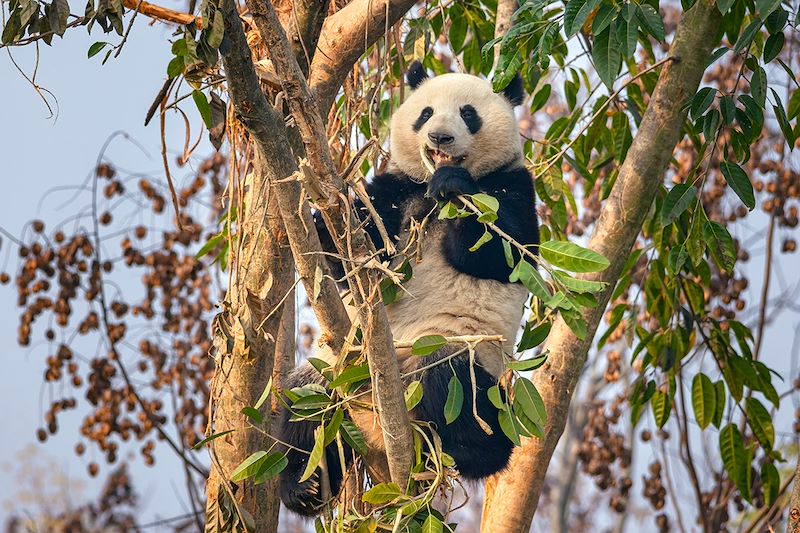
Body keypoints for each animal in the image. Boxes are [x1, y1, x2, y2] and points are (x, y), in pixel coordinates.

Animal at [278, 61, 540, 516]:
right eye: (425, 113)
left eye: (468, 113)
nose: (439, 137)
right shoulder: (396, 189)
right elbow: (352, 259)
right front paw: (322, 219)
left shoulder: (514, 185)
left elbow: (506, 253)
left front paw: (453, 184)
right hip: (332, 369)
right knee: (303, 409)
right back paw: (303, 486)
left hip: (456, 351)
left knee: (453, 380)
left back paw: (470, 452)